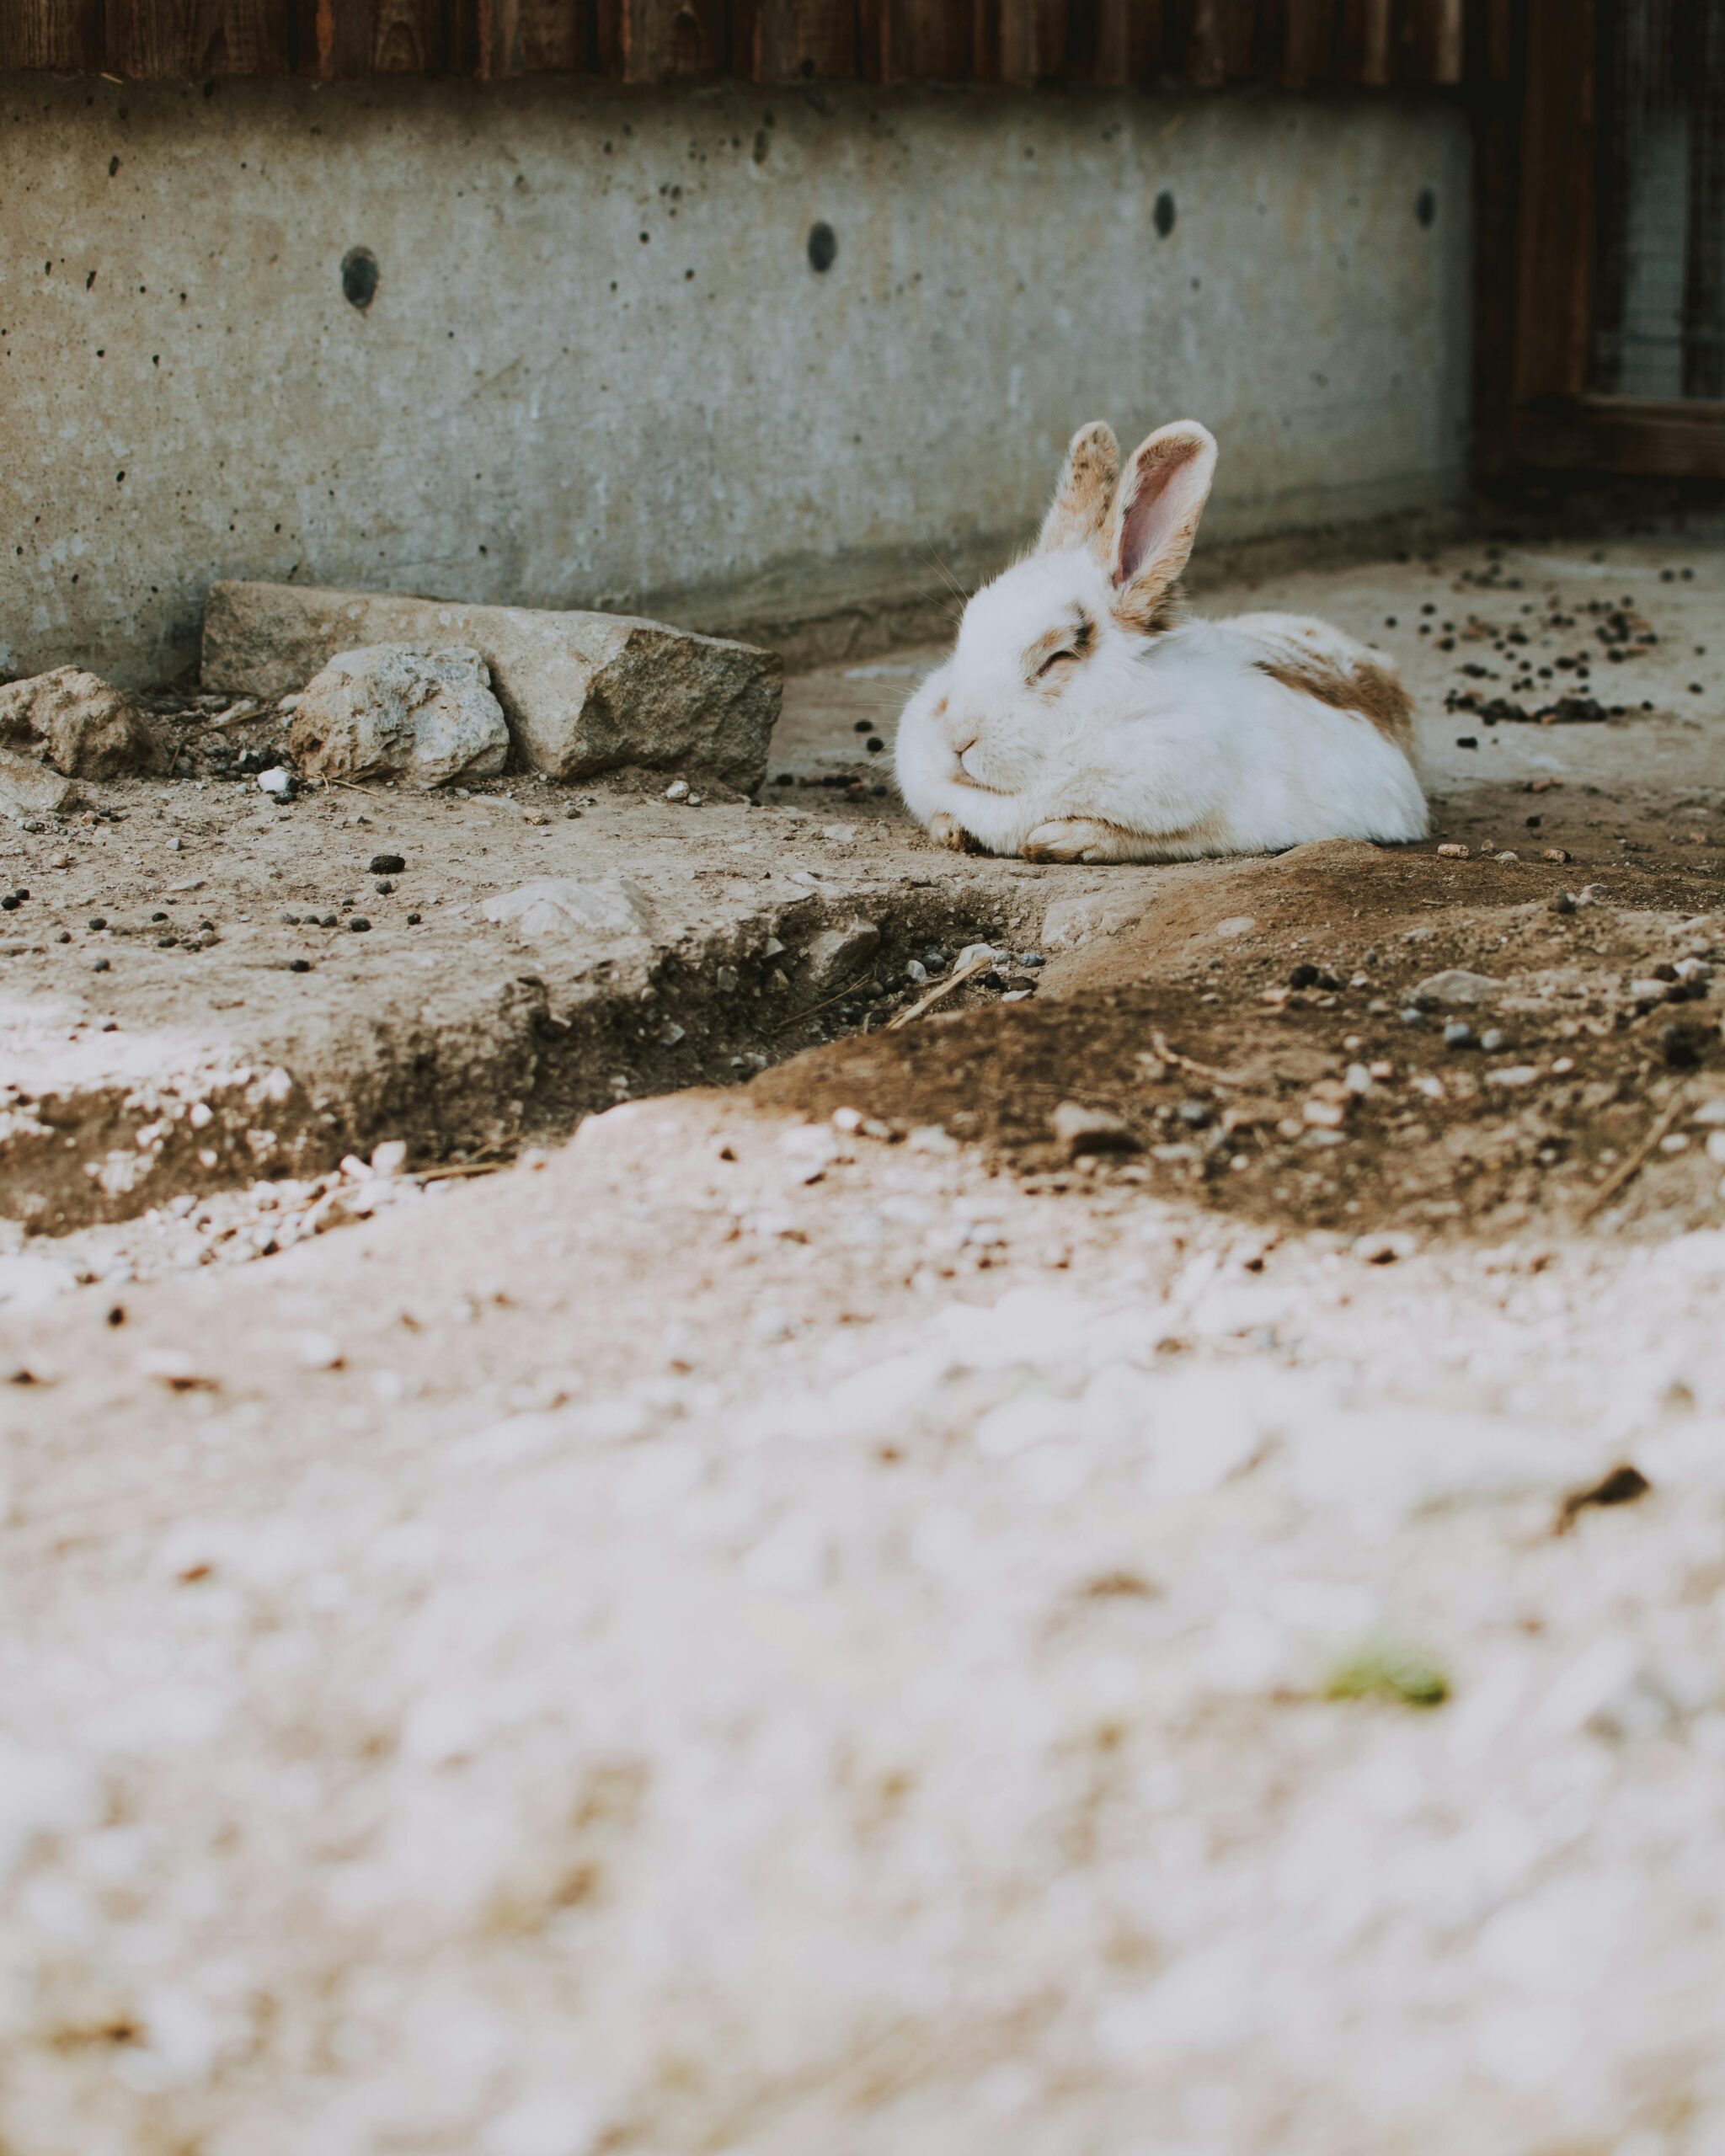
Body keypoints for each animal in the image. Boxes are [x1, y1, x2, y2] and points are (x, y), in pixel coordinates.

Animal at [894, 418, 1428, 863]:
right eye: (966, 631)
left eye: (1056, 657)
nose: (956, 739)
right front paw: (952, 831)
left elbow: (1148, 836)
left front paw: (1061, 840)